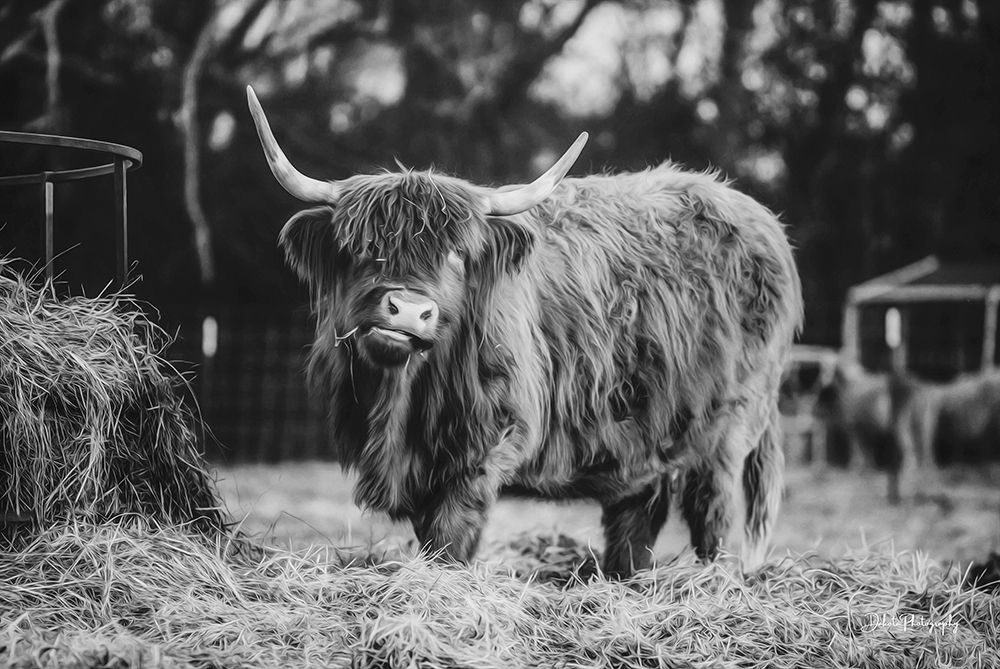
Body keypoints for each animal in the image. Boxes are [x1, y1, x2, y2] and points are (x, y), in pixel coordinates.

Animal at [247, 86, 803, 576]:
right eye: (363, 246)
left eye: (458, 254)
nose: (408, 311)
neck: (399, 407)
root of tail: (761, 220)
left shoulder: (488, 440)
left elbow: (450, 534)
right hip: (645, 434)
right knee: (637, 518)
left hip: (730, 429)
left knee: (715, 513)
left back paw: (714, 583)